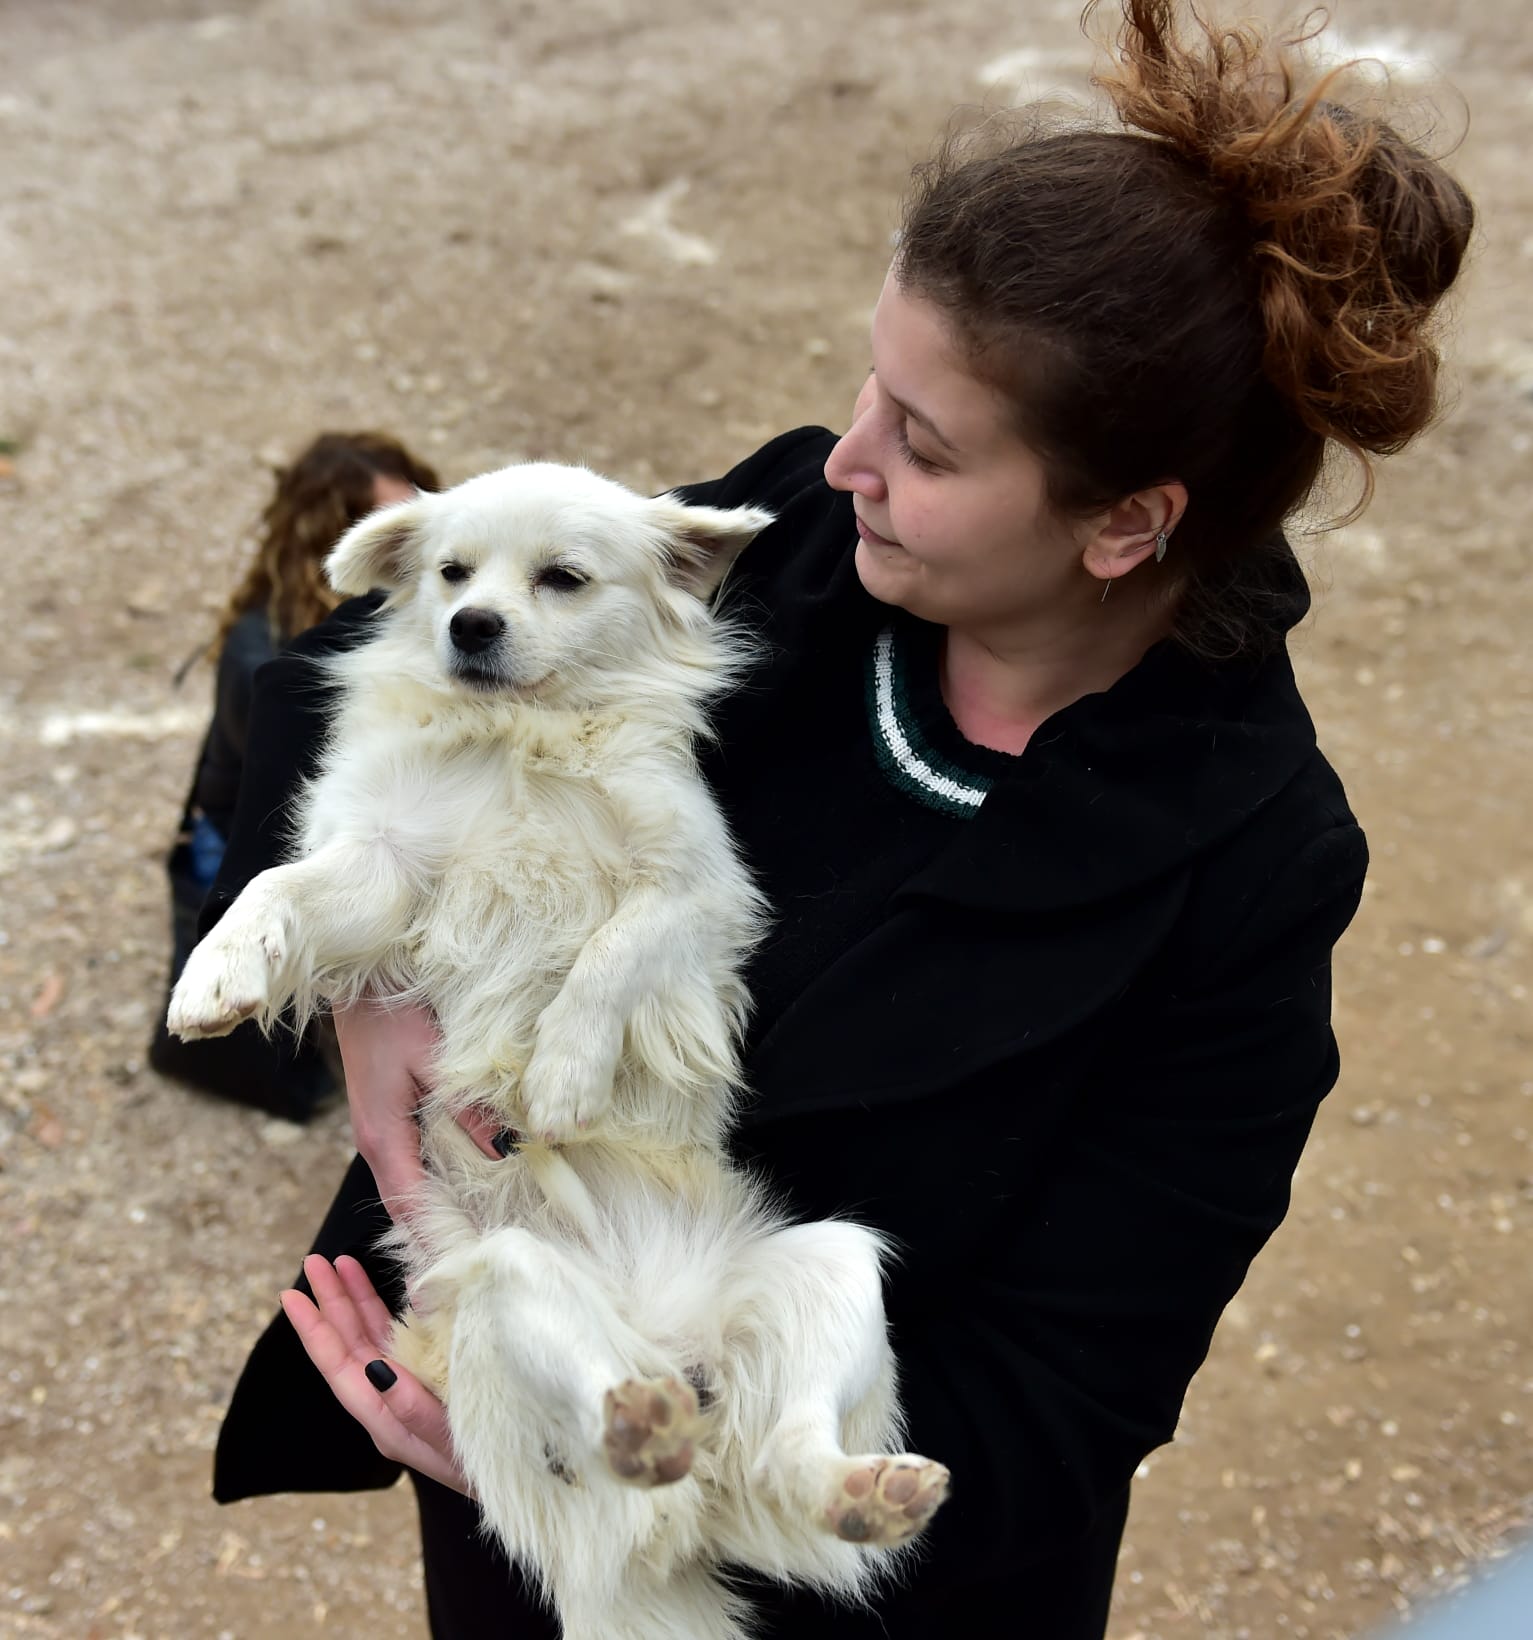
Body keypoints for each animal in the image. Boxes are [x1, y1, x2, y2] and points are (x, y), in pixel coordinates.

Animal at [168, 460, 949, 1639]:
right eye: (450, 574)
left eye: (563, 579)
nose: (470, 625)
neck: (520, 737)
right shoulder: (384, 866)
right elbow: (276, 885)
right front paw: (215, 974)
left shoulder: (697, 892)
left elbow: (610, 954)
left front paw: (565, 1076)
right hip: (507, 1284)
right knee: (620, 1408)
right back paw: (645, 1422)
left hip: (834, 1266)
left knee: (784, 1453)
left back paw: (857, 1487)